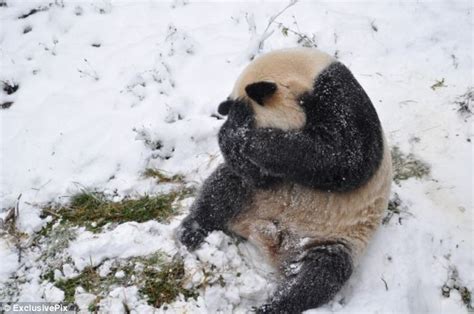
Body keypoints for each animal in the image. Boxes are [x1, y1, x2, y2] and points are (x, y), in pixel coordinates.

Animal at [178, 47, 392, 312]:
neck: (303, 73)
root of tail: (267, 239)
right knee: (222, 188)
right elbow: (254, 176)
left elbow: (345, 156)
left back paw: (274, 306)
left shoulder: (339, 97)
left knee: (319, 274)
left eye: (249, 120)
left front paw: (251, 139)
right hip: (253, 197)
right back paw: (192, 231)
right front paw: (232, 138)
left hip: (337, 238)